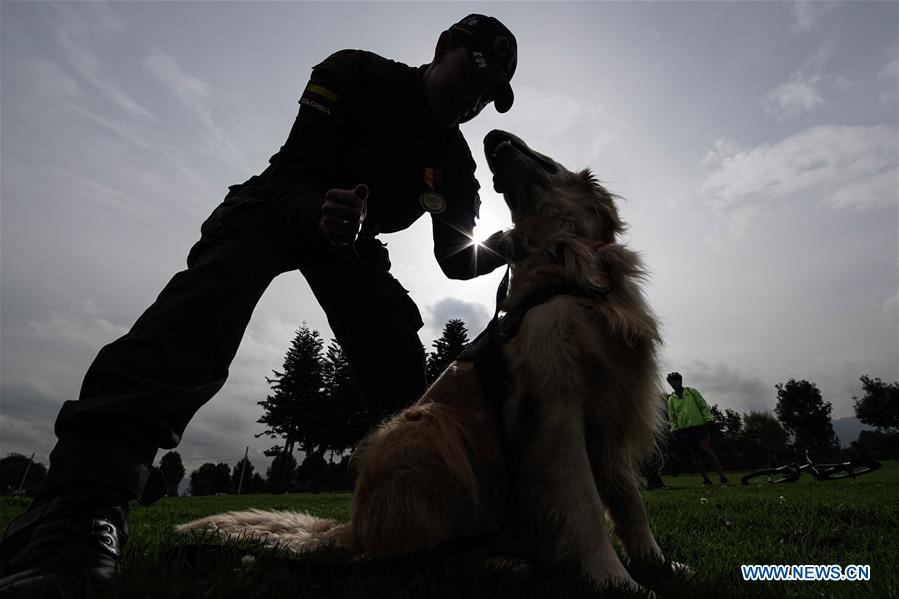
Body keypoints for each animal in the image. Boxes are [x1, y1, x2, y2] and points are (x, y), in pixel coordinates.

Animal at [179, 129, 680, 592]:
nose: (491, 136)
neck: (568, 265)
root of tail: (352, 530)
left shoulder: (614, 406)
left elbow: (629, 503)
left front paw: (660, 564)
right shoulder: (555, 411)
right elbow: (584, 506)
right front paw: (617, 582)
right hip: (428, 427)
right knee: (413, 561)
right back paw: (499, 564)